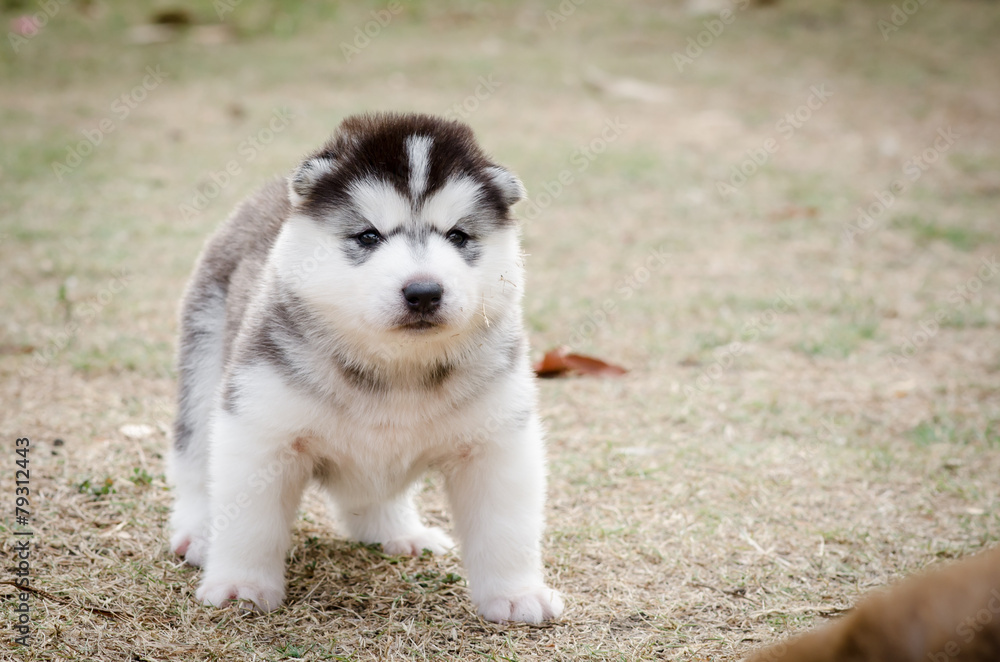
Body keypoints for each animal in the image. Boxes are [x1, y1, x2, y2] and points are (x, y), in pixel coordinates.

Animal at [170, 111, 564, 624]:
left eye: (458, 236)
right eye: (368, 236)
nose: (423, 291)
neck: (397, 368)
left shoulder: (496, 442)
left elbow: (506, 528)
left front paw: (517, 594)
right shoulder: (259, 428)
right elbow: (249, 522)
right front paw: (241, 583)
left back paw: (398, 531)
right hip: (204, 358)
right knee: (195, 460)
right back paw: (198, 532)